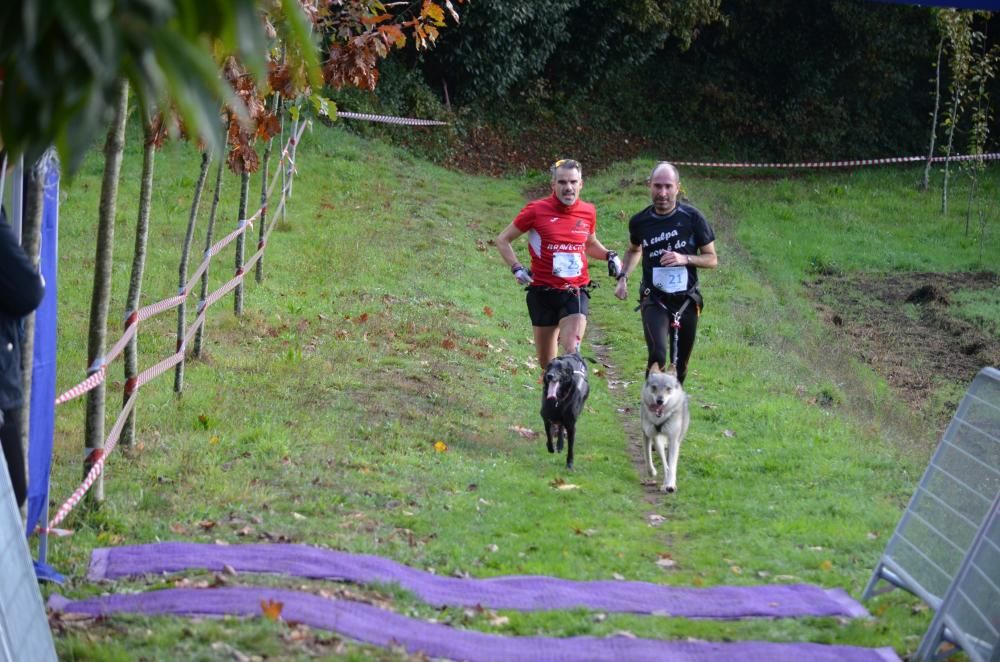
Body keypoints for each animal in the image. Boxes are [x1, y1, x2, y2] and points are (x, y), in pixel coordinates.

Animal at [640, 364, 688, 492]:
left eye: (668, 389)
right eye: (654, 387)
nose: (660, 401)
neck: (659, 419)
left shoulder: (673, 440)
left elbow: (672, 466)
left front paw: (670, 484)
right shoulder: (647, 434)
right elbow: (647, 456)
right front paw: (652, 472)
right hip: (657, 441)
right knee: (663, 460)